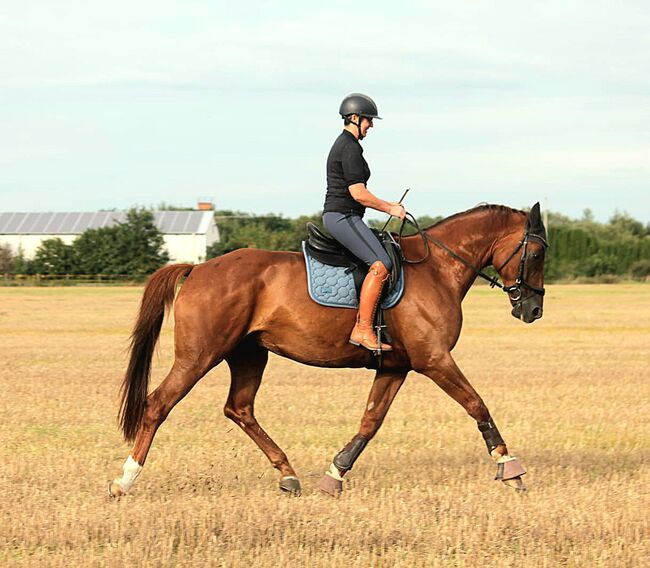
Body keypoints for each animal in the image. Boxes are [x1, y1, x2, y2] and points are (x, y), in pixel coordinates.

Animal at [109, 203, 544, 496]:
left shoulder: (395, 367)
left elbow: (370, 421)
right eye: (538, 253)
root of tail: (198, 268)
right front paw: (510, 467)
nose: (533, 310)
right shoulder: (434, 360)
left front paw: (335, 475)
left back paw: (288, 474)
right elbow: (476, 404)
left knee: (239, 408)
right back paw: (125, 480)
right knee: (158, 404)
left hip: (249, 354)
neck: (436, 267)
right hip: (200, 355)